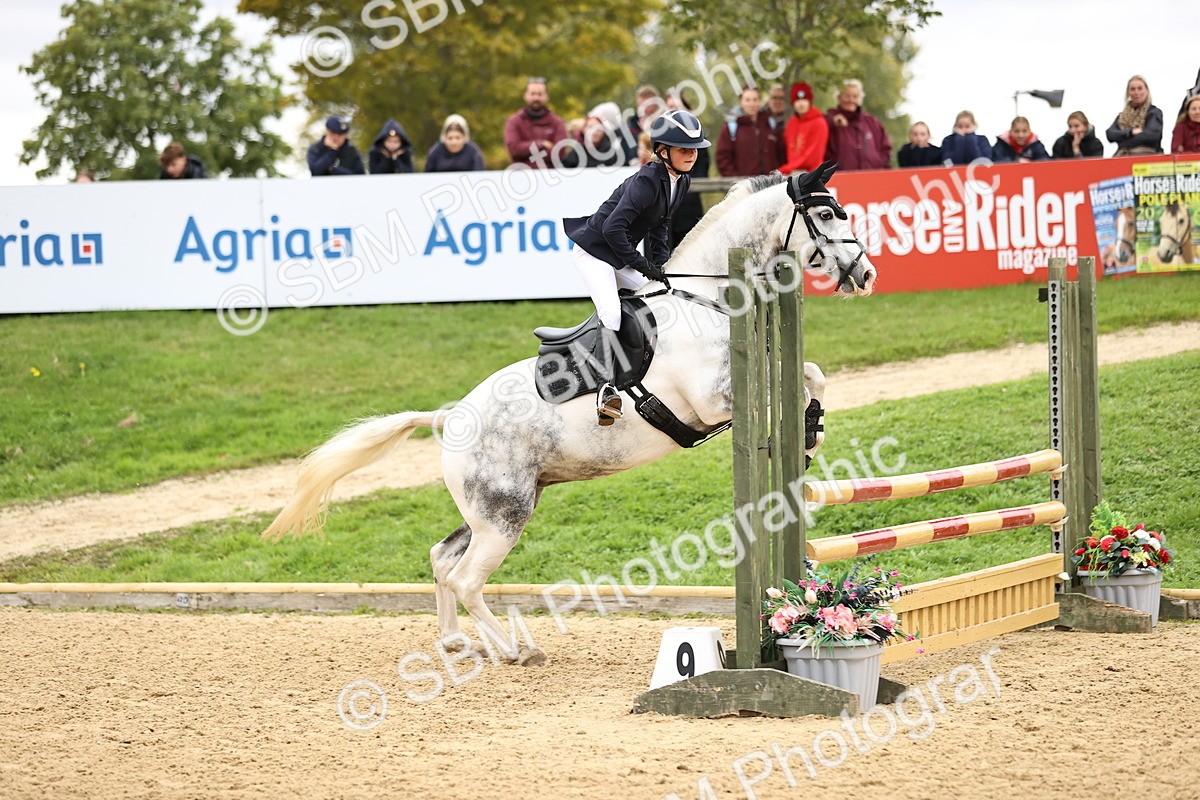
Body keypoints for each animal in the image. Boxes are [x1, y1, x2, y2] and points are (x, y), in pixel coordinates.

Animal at [262, 164, 878, 665]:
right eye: (826, 214)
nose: (865, 274)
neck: (707, 303)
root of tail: (450, 417)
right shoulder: (712, 400)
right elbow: (792, 389)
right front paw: (807, 431)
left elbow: (813, 374)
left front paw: (812, 431)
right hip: (504, 516)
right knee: (466, 579)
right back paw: (515, 651)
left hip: (498, 506)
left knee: (441, 559)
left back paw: (456, 642)